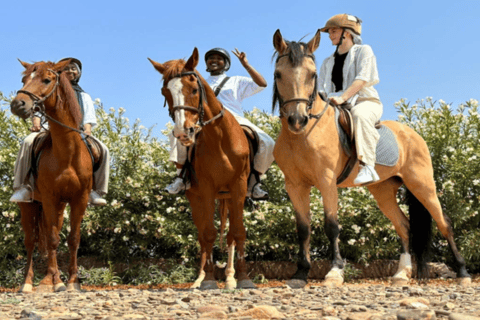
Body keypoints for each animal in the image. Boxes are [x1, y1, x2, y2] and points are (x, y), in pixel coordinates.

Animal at [10, 60, 94, 292]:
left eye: (47, 80)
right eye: (24, 79)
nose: (17, 104)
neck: (67, 153)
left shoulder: (78, 199)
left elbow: (73, 239)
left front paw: (73, 282)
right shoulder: (49, 198)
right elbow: (53, 239)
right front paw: (55, 282)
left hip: (58, 207)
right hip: (29, 205)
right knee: (32, 240)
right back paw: (30, 282)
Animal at [149, 48, 255, 290]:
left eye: (195, 89)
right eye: (165, 92)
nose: (183, 132)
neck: (219, 137)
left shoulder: (238, 186)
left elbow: (238, 231)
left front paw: (243, 278)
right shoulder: (206, 189)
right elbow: (208, 233)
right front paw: (207, 280)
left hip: (228, 196)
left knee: (229, 236)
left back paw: (230, 277)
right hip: (196, 197)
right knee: (201, 235)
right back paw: (200, 278)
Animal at [272, 30, 470, 288]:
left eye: (312, 74)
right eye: (278, 74)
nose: (297, 120)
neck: (302, 136)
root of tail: (414, 134)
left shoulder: (326, 181)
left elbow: (332, 226)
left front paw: (335, 271)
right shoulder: (295, 185)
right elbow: (303, 228)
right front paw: (300, 273)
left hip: (422, 184)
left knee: (443, 222)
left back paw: (463, 271)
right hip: (383, 191)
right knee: (404, 226)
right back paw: (401, 274)